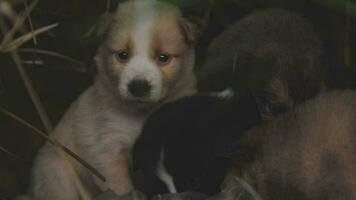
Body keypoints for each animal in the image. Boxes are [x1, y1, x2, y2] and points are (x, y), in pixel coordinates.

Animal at [25, 0, 199, 199]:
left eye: (163, 58)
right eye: (122, 55)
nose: (138, 86)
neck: (141, 114)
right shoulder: (108, 148)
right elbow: (121, 188)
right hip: (57, 170)